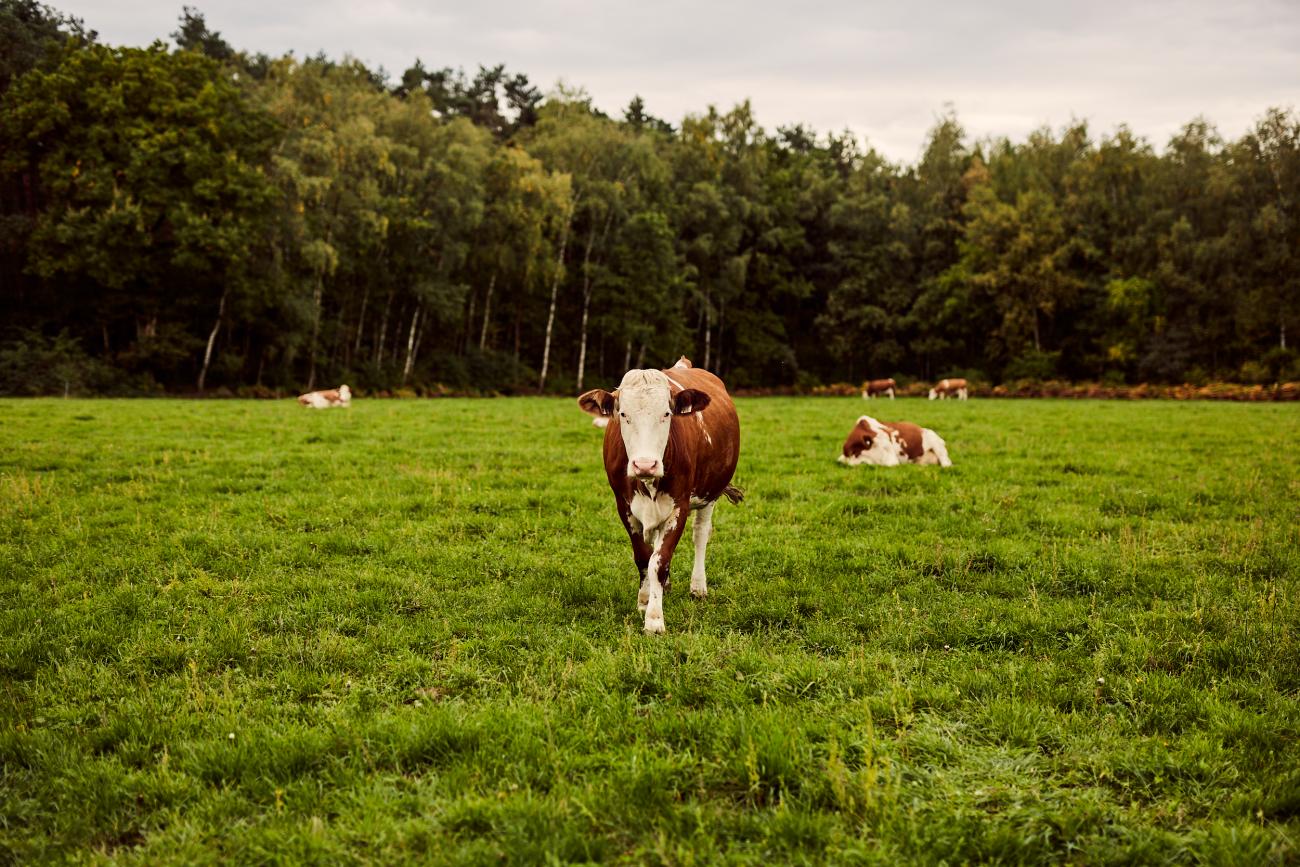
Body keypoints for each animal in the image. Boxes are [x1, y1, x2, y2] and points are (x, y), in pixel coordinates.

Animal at [579, 356, 743, 634]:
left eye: (666, 414)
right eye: (623, 414)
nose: (645, 465)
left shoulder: (680, 506)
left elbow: (660, 560)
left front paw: (654, 619)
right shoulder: (623, 505)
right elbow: (644, 556)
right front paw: (645, 600)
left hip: (711, 492)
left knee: (701, 534)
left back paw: (698, 586)